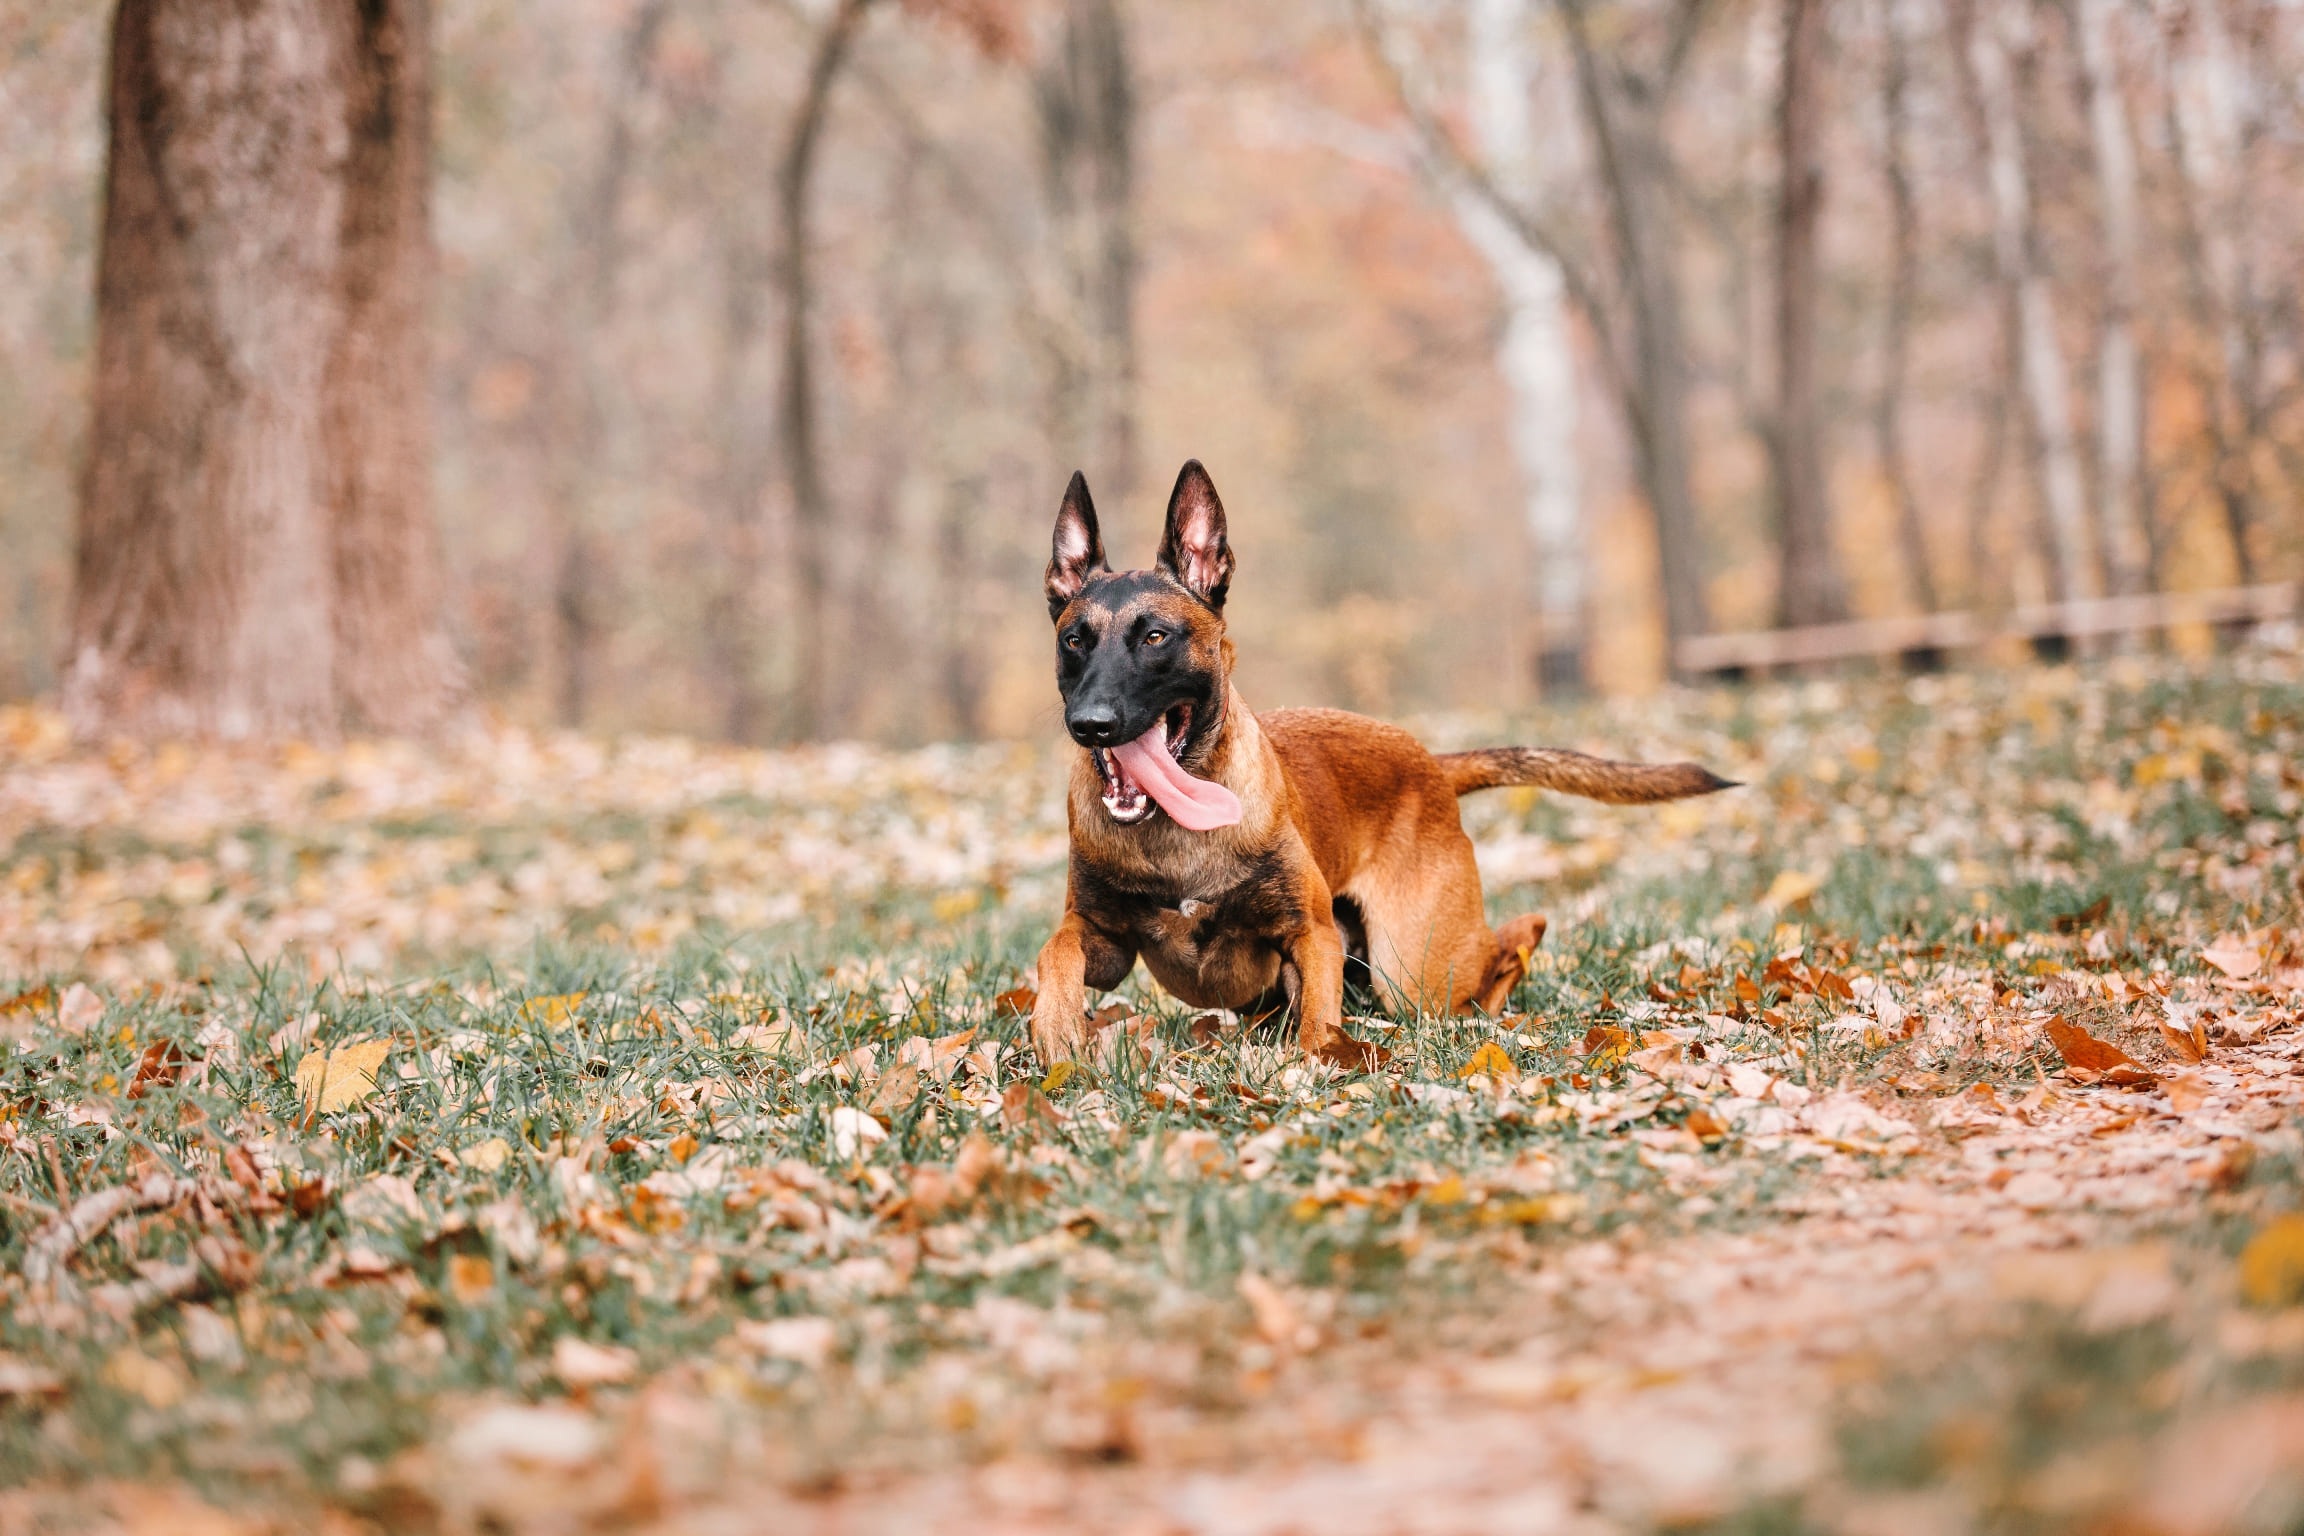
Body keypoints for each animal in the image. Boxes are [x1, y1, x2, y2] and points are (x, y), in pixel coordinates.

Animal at [1032, 462, 1732, 1077]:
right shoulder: (1104, 942)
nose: (1091, 723)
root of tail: (1429, 762)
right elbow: (1055, 951)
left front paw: (1312, 1068)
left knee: (1512, 940)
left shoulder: (1311, 936)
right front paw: (1056, 1028)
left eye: (1155, 638)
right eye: (1074, 640)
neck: (1175, 832)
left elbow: (1317, 1023)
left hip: (1413, 964)